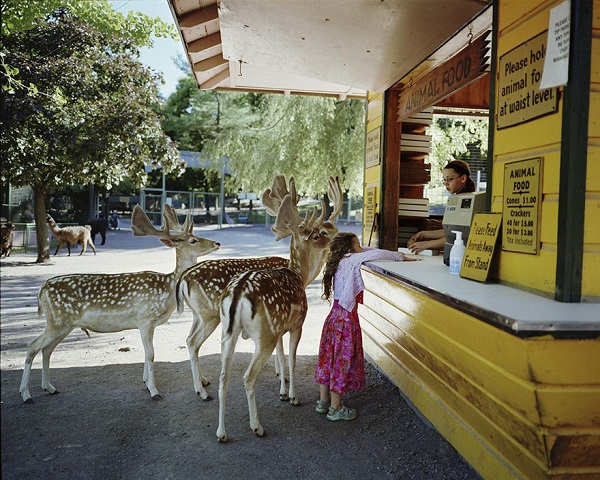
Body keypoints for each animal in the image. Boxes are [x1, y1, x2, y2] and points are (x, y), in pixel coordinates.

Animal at [18, 204, 221, 404]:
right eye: (193, 240)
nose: (217, 243)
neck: (168, 288)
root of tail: (41, 290)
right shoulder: (146, 319)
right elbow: (151, 354)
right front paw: (154, 391)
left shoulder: (146, 324)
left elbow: (146, 354)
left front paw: (146, 383)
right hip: (57, 322)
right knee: (32, 346)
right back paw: (26, 395)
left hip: (63, 325)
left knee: (46, 350)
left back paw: (49, 388)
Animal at [175, 176, 342, 402]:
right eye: (320, 233)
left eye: (332, 228)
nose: (338, 238)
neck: (302, 276)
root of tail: (183, 278)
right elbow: (285, 355)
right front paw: (285, 387)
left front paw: (282, 382)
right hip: (210, 314)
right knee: (193, 342)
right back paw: (201, 392)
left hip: (199, 315)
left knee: (190, 341)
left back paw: (203, 381)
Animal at [217, 175, 344, 442]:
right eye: (317, 235)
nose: (336, 238)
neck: (299, 276)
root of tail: (237, 293)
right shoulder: (297, 323)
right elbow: (293, 359)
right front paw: (293, 396)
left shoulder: (279, 329)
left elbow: (282, 356)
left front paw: (283, 392)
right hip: (262, 334)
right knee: (248, 377)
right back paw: (257, 426)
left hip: (230, 332)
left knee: (223, 376)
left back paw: (221, 432)